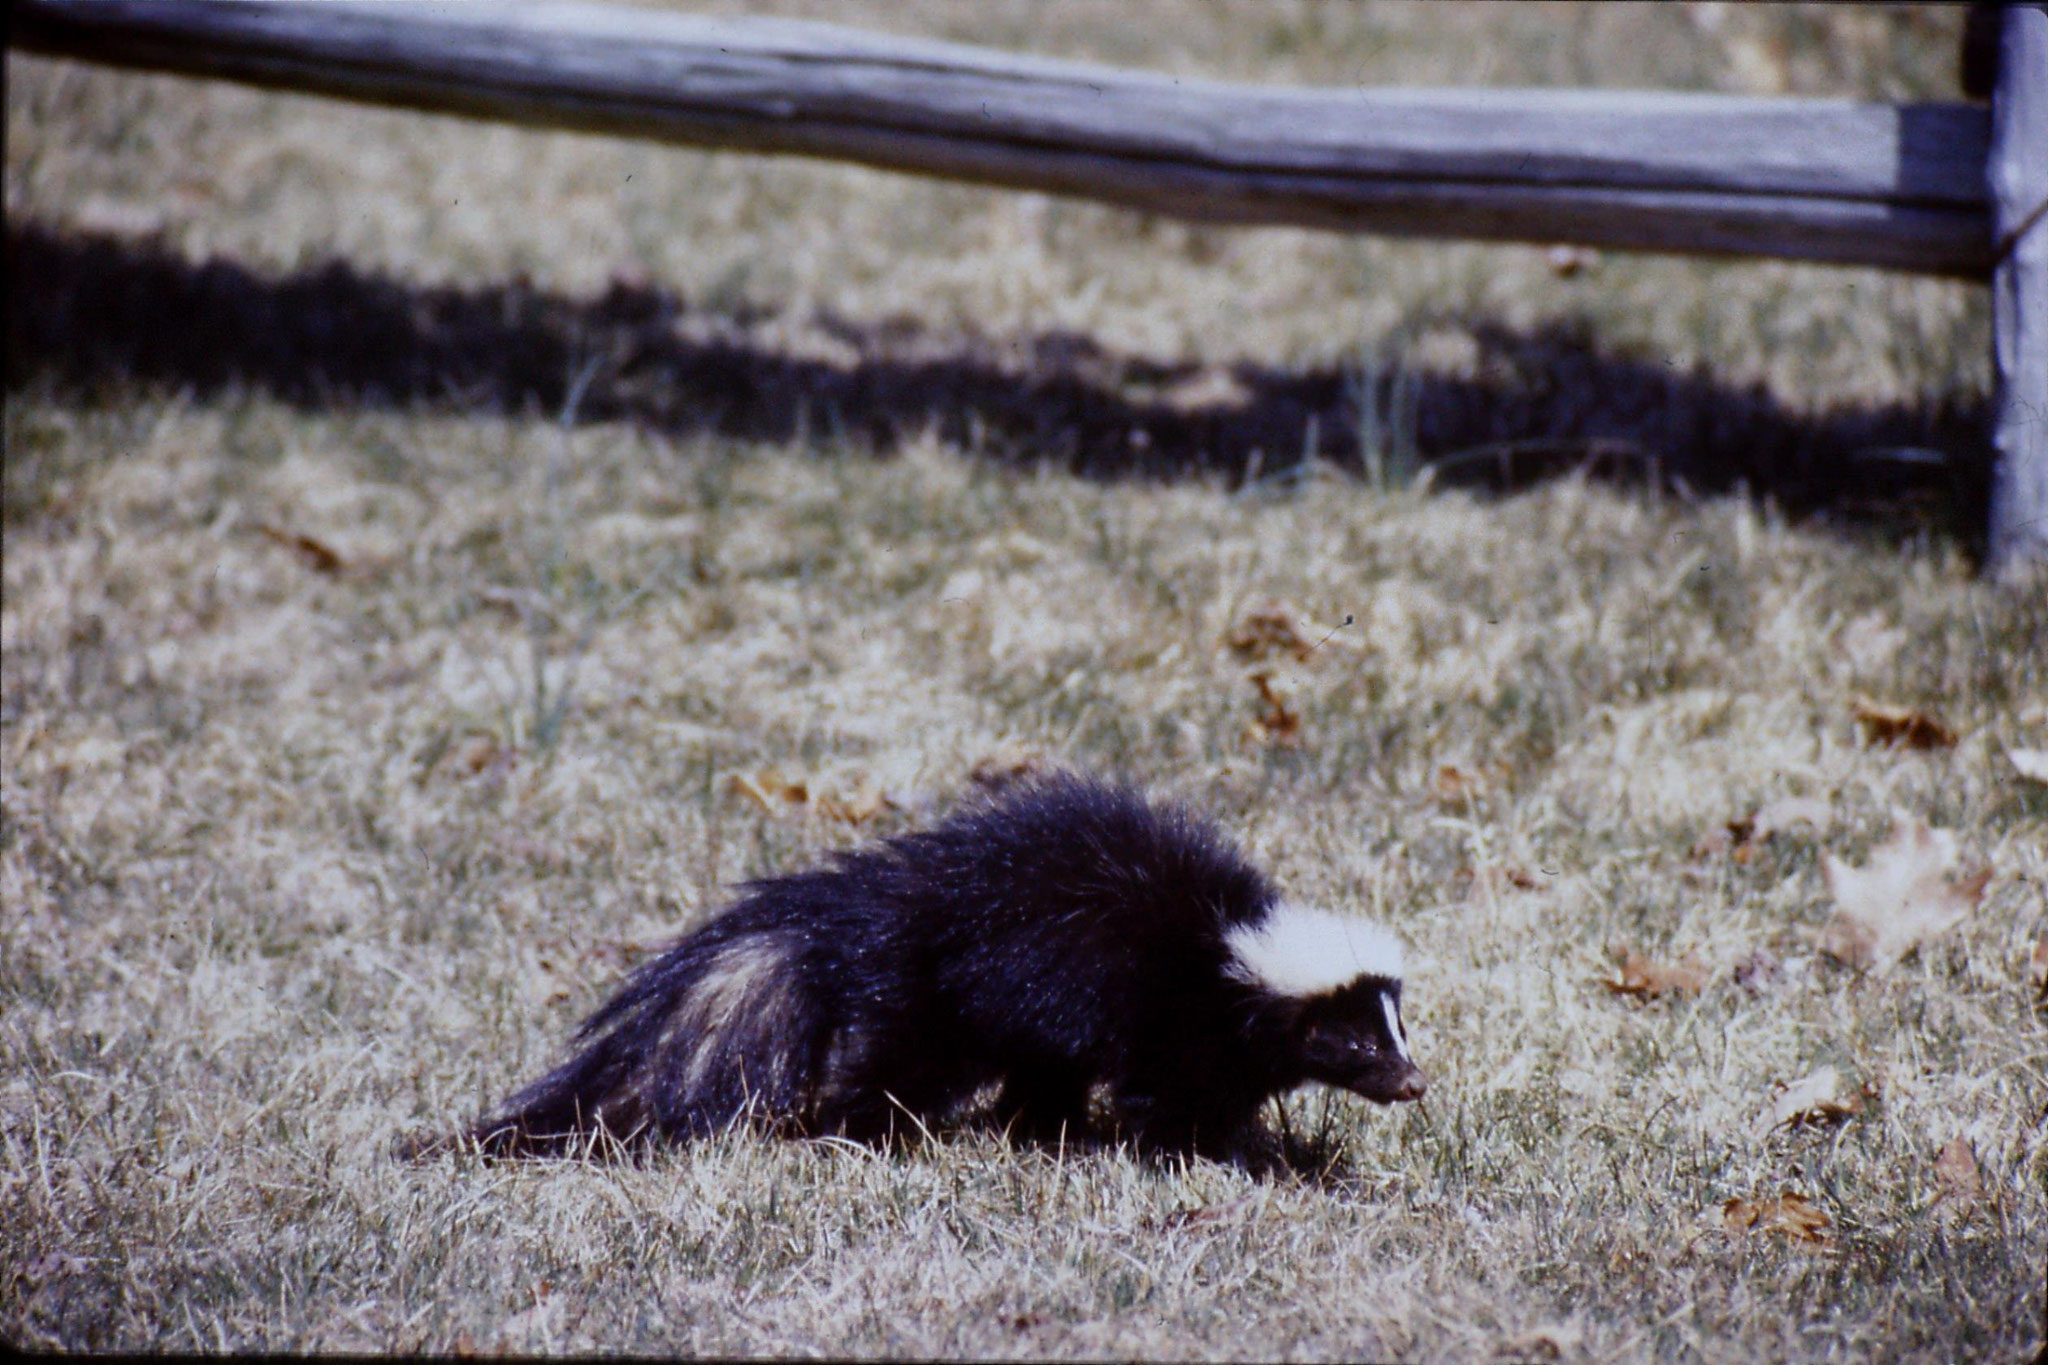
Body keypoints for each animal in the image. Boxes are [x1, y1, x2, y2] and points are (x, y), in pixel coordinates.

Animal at [432, 773, 1425, 1170]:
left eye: (1397, 1029)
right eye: (1351, 1041)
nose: (1414, 1081)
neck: (1224, 946)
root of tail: (889, 909)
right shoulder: (1161, 1011)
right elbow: (1172, 1096)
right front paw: (1214, 1154)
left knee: (1036, 1076)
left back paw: (1039, 1131)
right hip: (942, 999)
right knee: (892, 1070)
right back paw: (857, 1133)